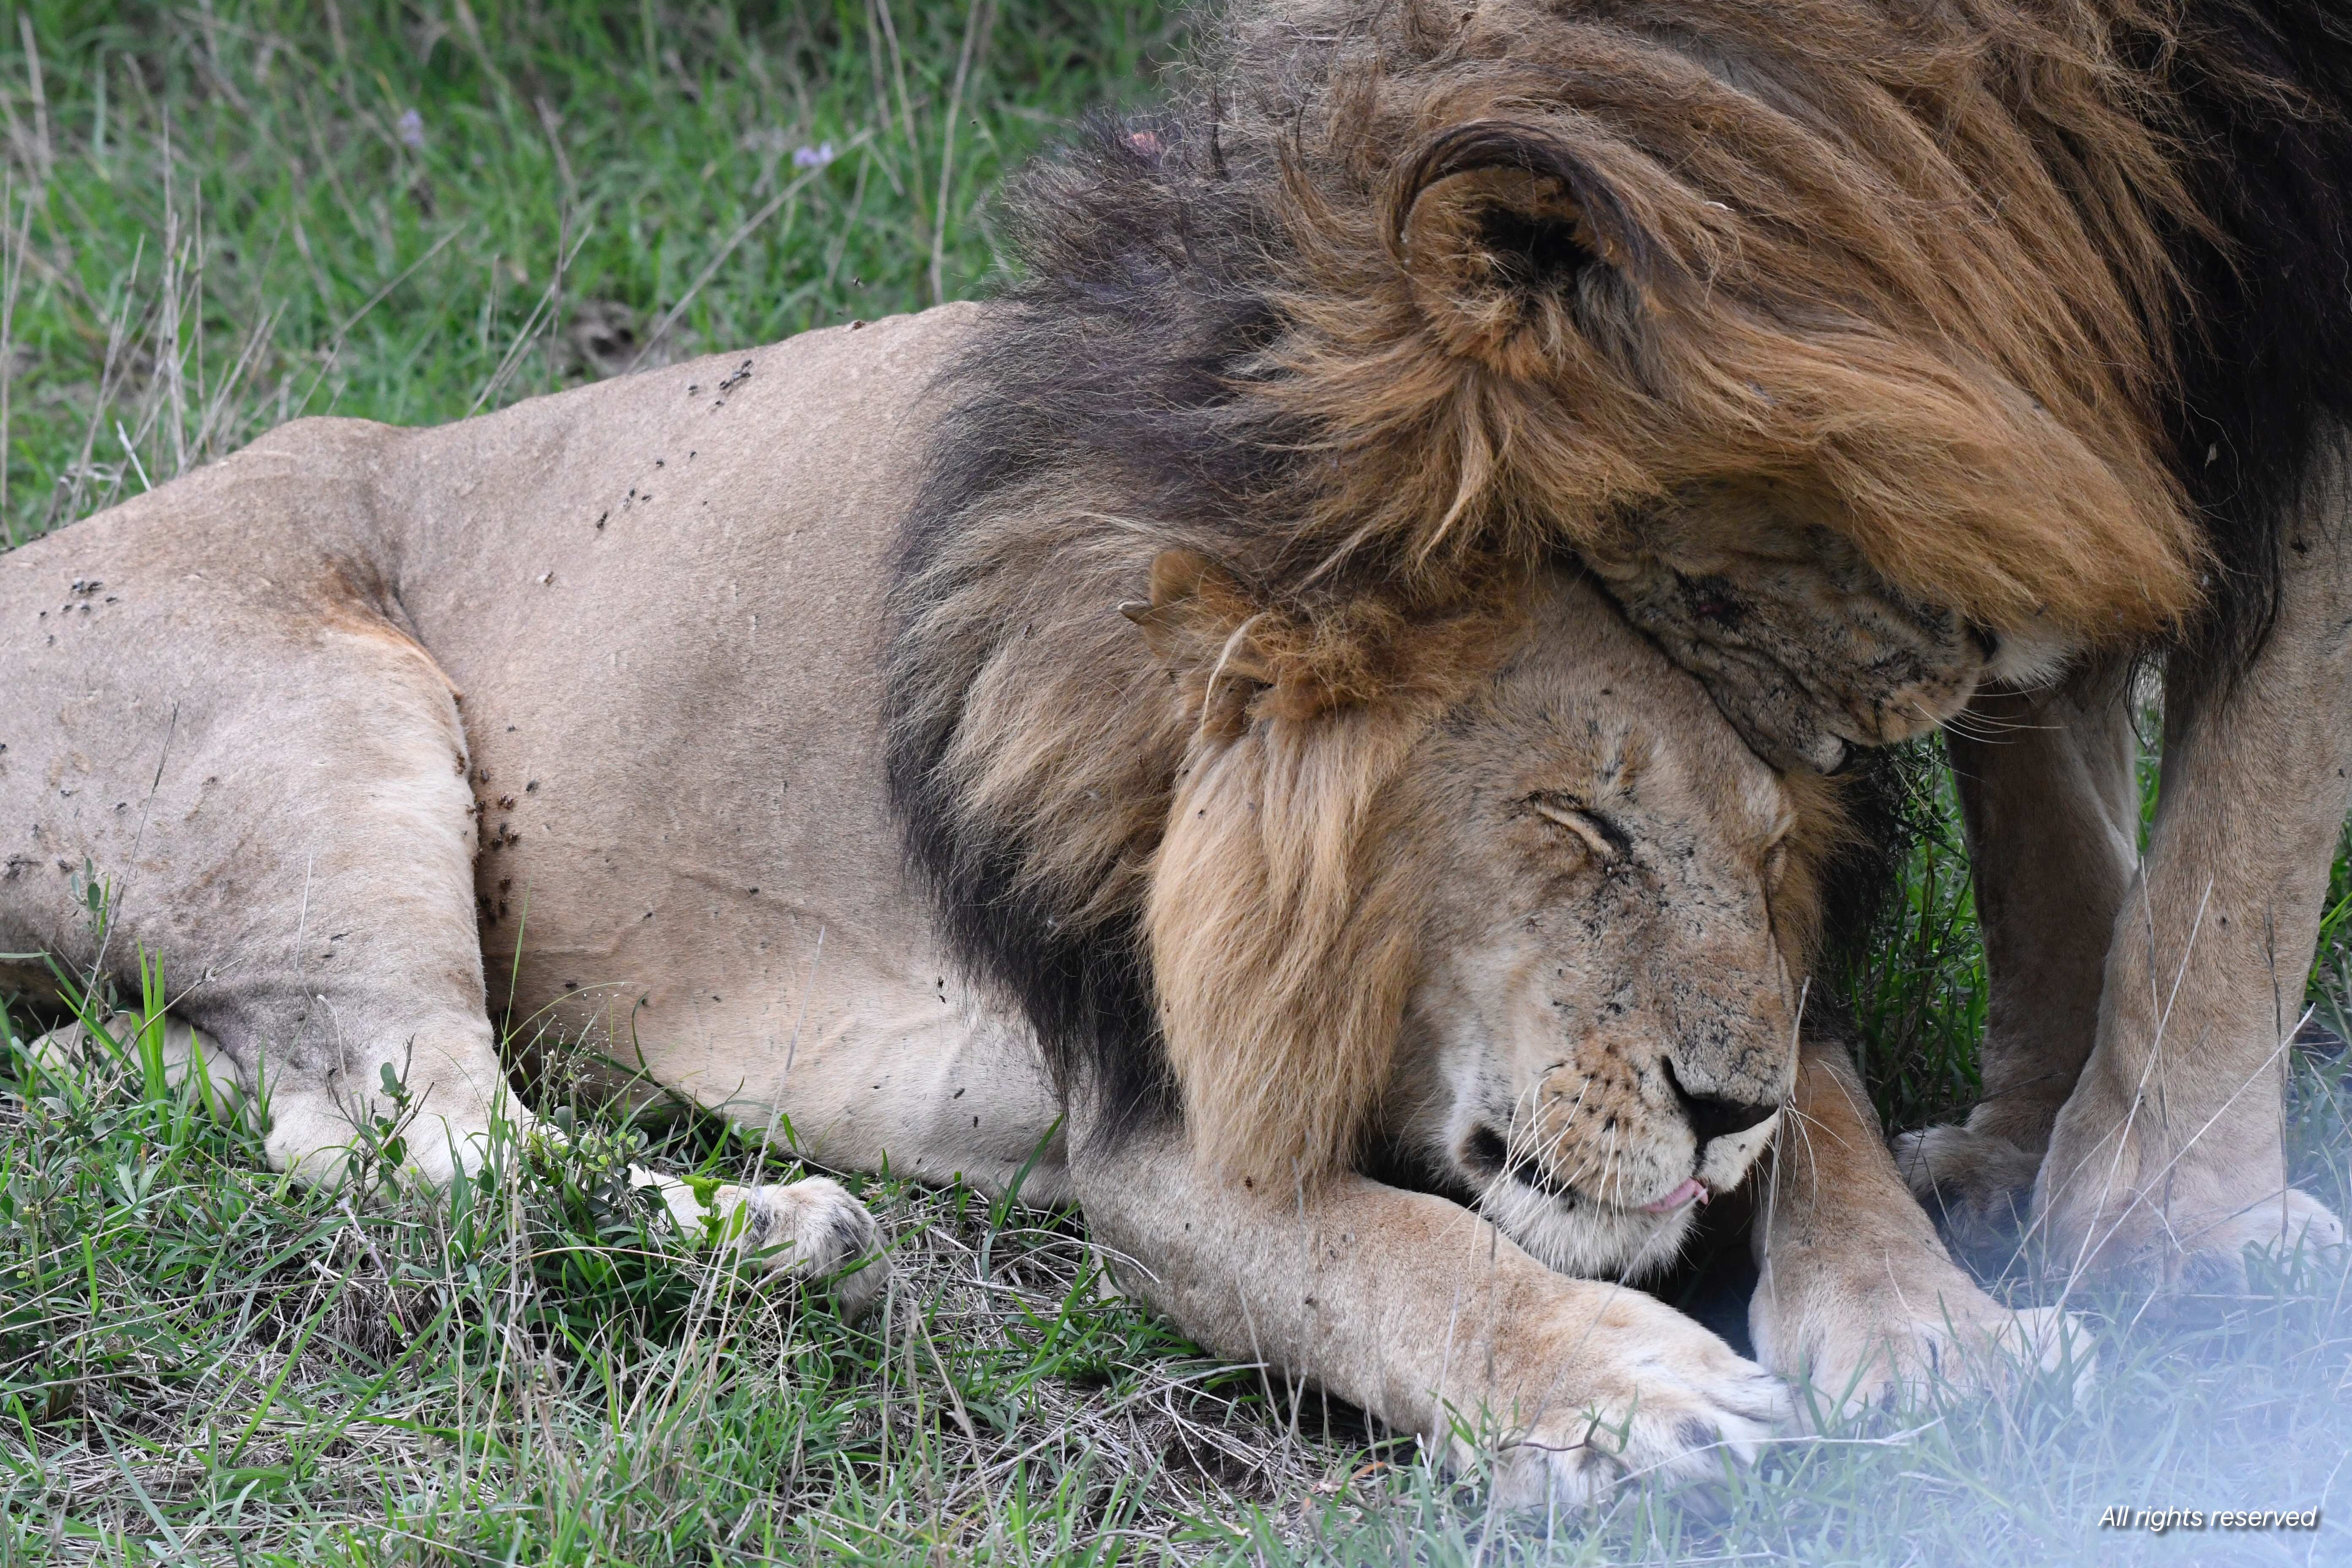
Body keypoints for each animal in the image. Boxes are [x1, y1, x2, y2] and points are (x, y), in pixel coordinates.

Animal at [0, 303, 2071, 1506]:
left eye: (1774, 851)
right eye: (1579, 820)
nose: (1710, 1119)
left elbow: (1835, 1097)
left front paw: (1932, 1331)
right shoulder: (1146, 1127)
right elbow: (1402, 1260)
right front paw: (1629, 1388)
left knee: (308, 1113)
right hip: (340, 722)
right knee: (432, 1136)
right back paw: (789, 1231)